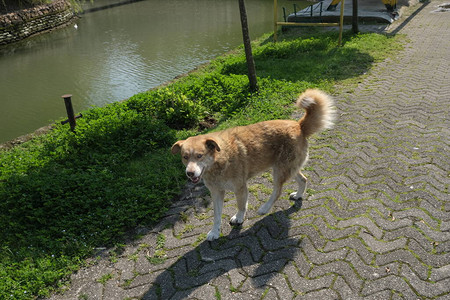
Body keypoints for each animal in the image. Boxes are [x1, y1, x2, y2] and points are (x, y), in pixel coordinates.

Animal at [172, 89, 334, 241]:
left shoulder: (240, 187)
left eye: (199, 156)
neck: (219, 160)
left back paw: (265, 208)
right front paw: (214, 232)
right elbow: (216, 216)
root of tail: (299, 125)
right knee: (303, 179)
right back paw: (299, 195)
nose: (190, 173)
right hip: (288, 168)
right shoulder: (216, 192)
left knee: (278, 191)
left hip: (279, 171)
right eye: (185, 157)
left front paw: (239, 218)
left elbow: (241, 205)